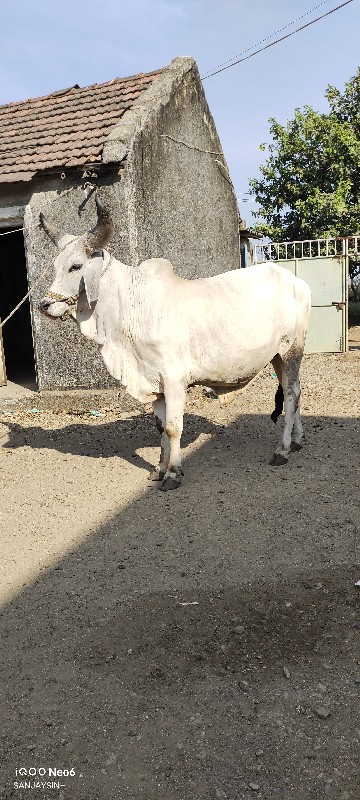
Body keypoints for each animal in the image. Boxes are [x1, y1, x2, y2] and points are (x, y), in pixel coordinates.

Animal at [38, 197, 310, 490]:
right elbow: (160, 428)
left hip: (292, 350)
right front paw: (159, 468)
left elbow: (172, 427)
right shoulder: (154, 382)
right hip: (277, 356)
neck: (133, 307)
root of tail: (297, 281)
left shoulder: (174, 379)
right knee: (294, 389)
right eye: (55, 265)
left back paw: (282, 450)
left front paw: (172, 473)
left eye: (75, 266)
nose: (44, 305)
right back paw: (297, 441)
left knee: (291, 394)